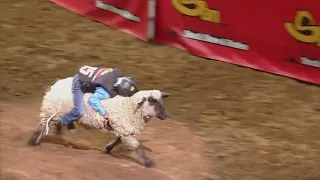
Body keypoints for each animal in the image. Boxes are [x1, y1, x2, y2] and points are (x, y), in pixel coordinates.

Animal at [28, 76, 170, 167]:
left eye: (161, 101)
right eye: (152, 101)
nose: (166, 115)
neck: (129, 106)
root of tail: (54, 85)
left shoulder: (123, 129)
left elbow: (118, 140)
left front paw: (108, 149)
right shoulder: (124, 128)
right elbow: (136, 146)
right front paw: (149, 163)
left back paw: (59, 134)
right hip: (52, 109)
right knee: (43, 125)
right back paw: (34, 142)